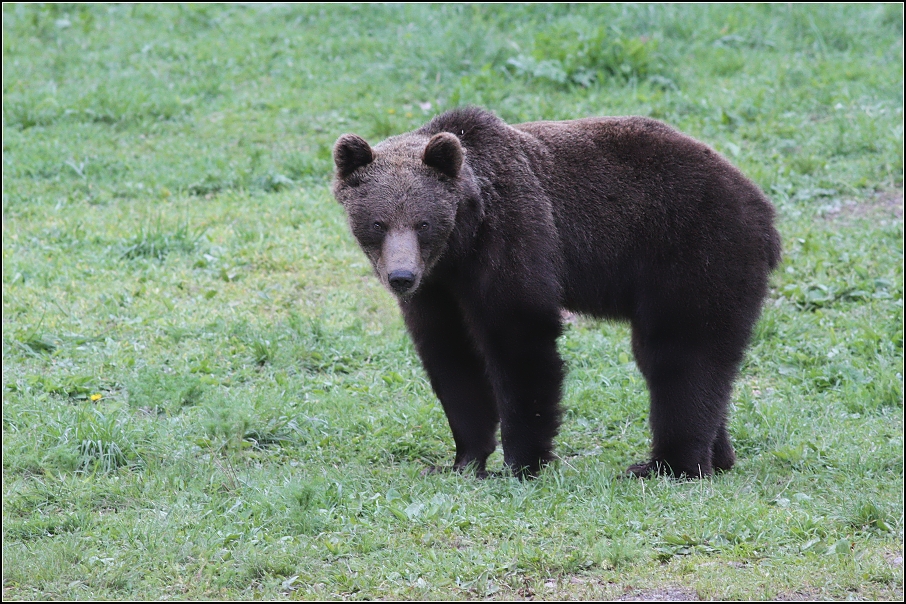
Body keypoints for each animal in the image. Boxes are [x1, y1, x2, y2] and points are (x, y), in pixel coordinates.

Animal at [330, 106, 776, 478]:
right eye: (377, 223)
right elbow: (452, 360)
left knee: (681, 351)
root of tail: (762, 206)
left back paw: (667, 465)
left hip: (693, 252)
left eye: (422, 223)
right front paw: (461, 460)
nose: (401, 277)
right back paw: (718, 456)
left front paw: (521, 462)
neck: (461, 246)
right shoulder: (440, 290)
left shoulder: (513, 236)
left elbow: (521, 341)